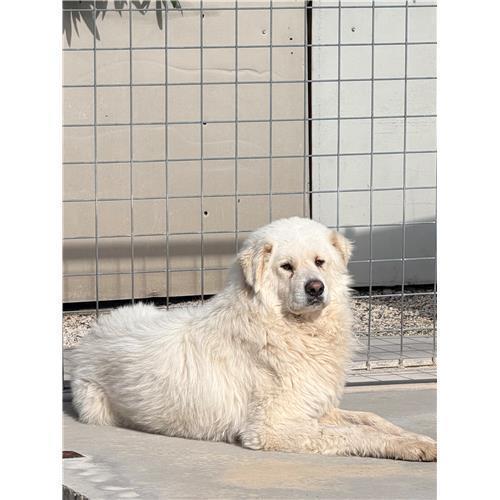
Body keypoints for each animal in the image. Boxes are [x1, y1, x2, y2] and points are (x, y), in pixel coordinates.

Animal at [71, 217, 436, 461]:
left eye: (320, 262)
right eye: (286, 267)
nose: (315, 288)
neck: (284, 326)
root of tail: (96, 329)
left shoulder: (312, 408)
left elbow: (371, 419)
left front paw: (416, 437)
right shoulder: (272, 428)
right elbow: (355, 432)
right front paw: (412, 446)